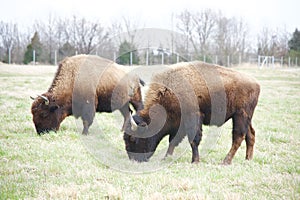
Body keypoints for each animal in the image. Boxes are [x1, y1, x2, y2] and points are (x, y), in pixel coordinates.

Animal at [123, 61, 258, 164]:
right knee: (250, 134)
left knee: (238, 137)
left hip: (240, 115)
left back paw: (226, 161)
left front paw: (195, 161)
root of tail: (256, 83)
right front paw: (166, 158)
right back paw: (248, 159)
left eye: (133, 138)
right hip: (246, 118)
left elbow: (193, 140)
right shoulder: (178, 124)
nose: (133, 159)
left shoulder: (193, 119)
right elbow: (173, 141)